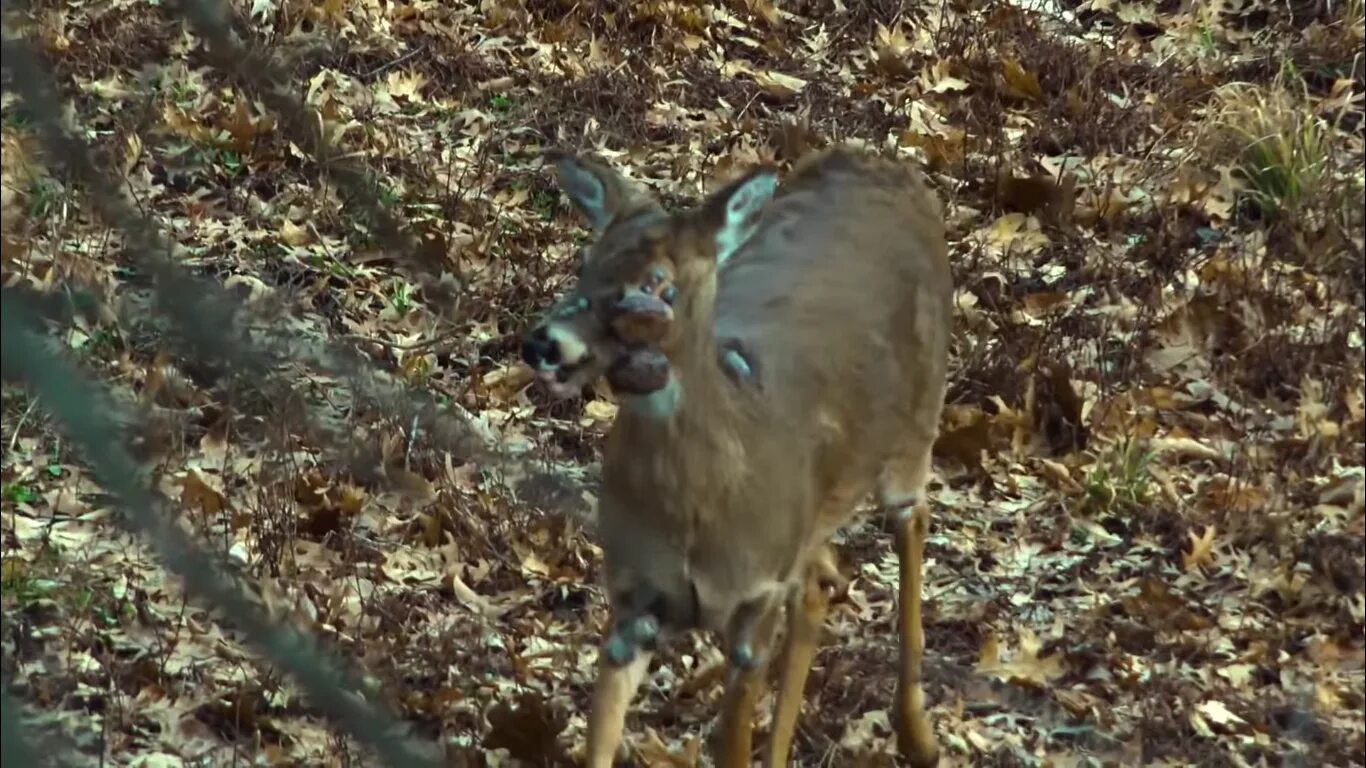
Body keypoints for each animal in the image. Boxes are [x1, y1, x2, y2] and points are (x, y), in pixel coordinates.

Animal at [521, 144, 950, 765]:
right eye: (586, 262)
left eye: (657, 284)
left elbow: (732, 744)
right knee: (823, 577)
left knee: (912, 522)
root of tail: (882, 162)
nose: (545, 343)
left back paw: (918, 734)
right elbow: (599, 742)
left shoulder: (755, 602)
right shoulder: (632, 597)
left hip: (919, 422)